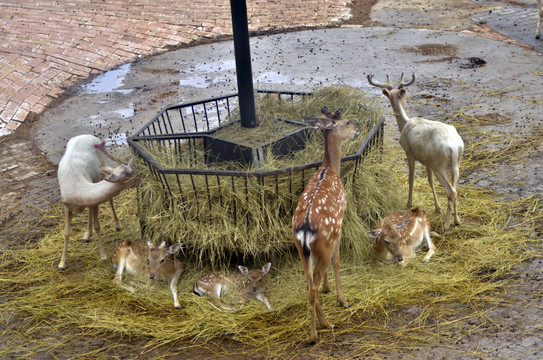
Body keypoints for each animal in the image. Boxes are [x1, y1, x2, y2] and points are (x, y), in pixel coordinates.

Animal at [55, 135, 139, 270]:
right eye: (133, 175)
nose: (143, 176)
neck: (79, 192)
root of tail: (87, 135)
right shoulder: (67, 205)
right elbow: (67, 233)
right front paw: (61, 264)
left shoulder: (93, 200)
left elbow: (97, 226)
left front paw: (103, 256)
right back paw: (86, 236)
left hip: (101, 167)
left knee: (109, 199)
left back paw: (117, 225)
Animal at [292, 106, 360, 344]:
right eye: (347, 122)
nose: (358, 126)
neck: (330, 168)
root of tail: (304, 231)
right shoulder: (340, 225)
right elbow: (337, 261)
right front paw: (342, 299)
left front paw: (328, 289)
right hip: (325, 242)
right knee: (313, 283)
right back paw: (318, 330)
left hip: (301, 250)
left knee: (308, 283)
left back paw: (321, 322)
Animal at [368, 74, 466, 231]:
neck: (404, 124)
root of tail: (454, 147)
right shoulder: (427, 161)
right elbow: (430, 181)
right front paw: (437, 208)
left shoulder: (409, 153)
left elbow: (411, 177)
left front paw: (409, 203)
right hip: (455, 165)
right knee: (455, 190)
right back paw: (457, 220)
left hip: (440, 166)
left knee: (451, 192)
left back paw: (445, 225)